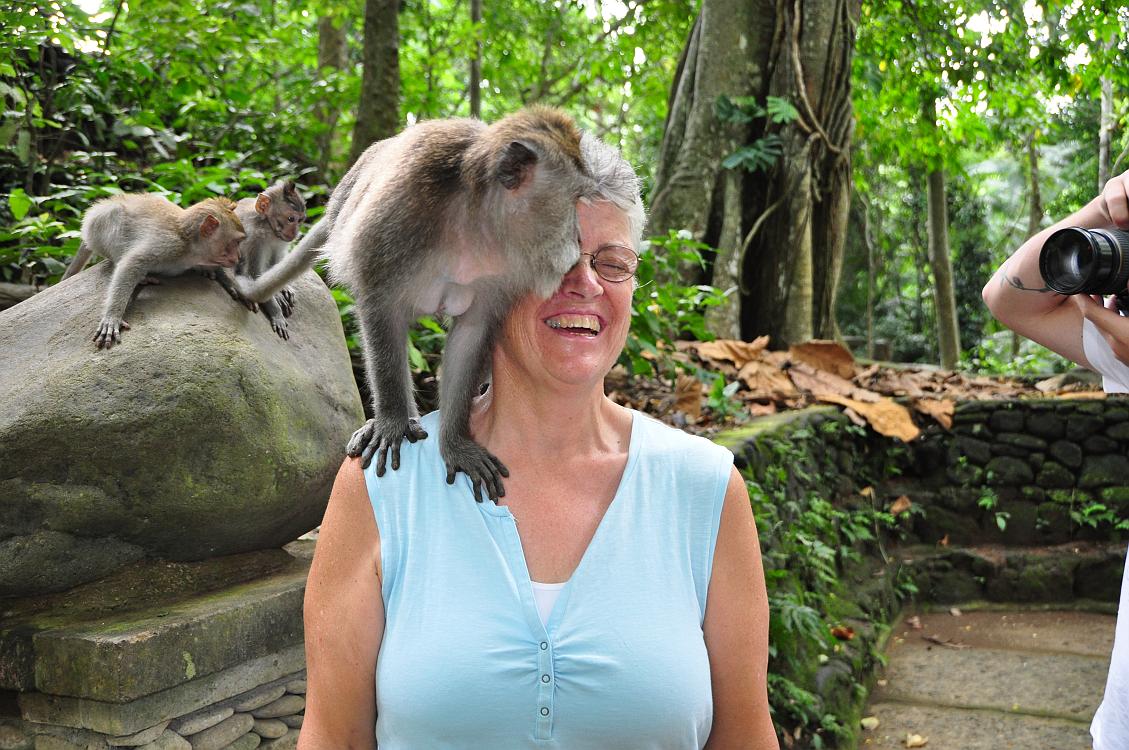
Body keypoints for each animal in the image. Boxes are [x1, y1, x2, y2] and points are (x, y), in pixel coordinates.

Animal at [62, 194, 246, 349]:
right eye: (236, 242)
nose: (238, 257)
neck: (190, 245)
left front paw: (224, 278)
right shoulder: (168, 245)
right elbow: (131, 264)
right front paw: (112, 317)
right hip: (96, 227)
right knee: (115, 217)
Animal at [210, 180, 307, 340]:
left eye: (300, 220)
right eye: (291, 219)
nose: (295, 233)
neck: (267, 225)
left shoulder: (279, 240)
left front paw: (284, 288)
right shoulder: (255, 238)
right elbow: (256, 276)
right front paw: (276, 312)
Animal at [230, 107, 595, 502]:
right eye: (574, 201)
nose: (578, 237)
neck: (475, 222)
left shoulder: (504, 272)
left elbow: (472, 332)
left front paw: (455, 442)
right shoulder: (397, 219)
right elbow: (381, 307)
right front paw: (391, 422)